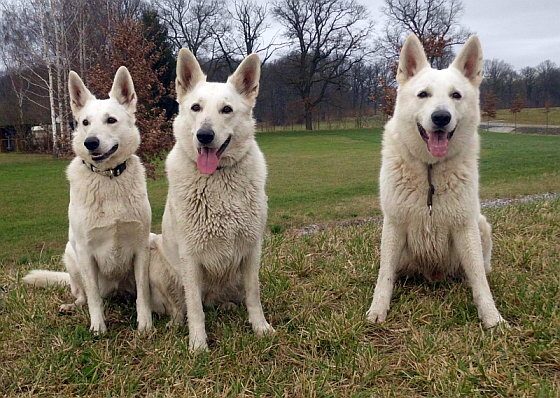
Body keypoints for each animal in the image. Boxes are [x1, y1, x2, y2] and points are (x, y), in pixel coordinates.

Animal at [24, 67, 152, 334]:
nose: (90, 142)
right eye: (85, 122)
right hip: (70, 255)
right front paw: (98, 327)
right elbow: (93, 296)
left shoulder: (141, 246)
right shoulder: (85, 252)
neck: (108, 178)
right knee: (82, 294)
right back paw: (73, 306)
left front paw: (145, 324)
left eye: (111, 120)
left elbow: (143, 293)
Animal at [161, 48, 274, 350]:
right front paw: (198, 344)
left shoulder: (252, 249)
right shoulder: (189, 257)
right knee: (180, 306)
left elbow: (254, 295)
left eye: (226, 110)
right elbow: (194, 308)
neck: (217, 179)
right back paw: (176, 323)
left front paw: (260, 327)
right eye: (196, 108)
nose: (204, 136)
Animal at [368, 34, 508, 328]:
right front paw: (378, 308)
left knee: (481, 269)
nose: (441, 117)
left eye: (456, 95)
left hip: (481, 225)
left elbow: (479, 279)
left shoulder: (465, 226)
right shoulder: (394, 224)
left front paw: (491, 317)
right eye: (423, 94)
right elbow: (385, 275)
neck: (430, 169)